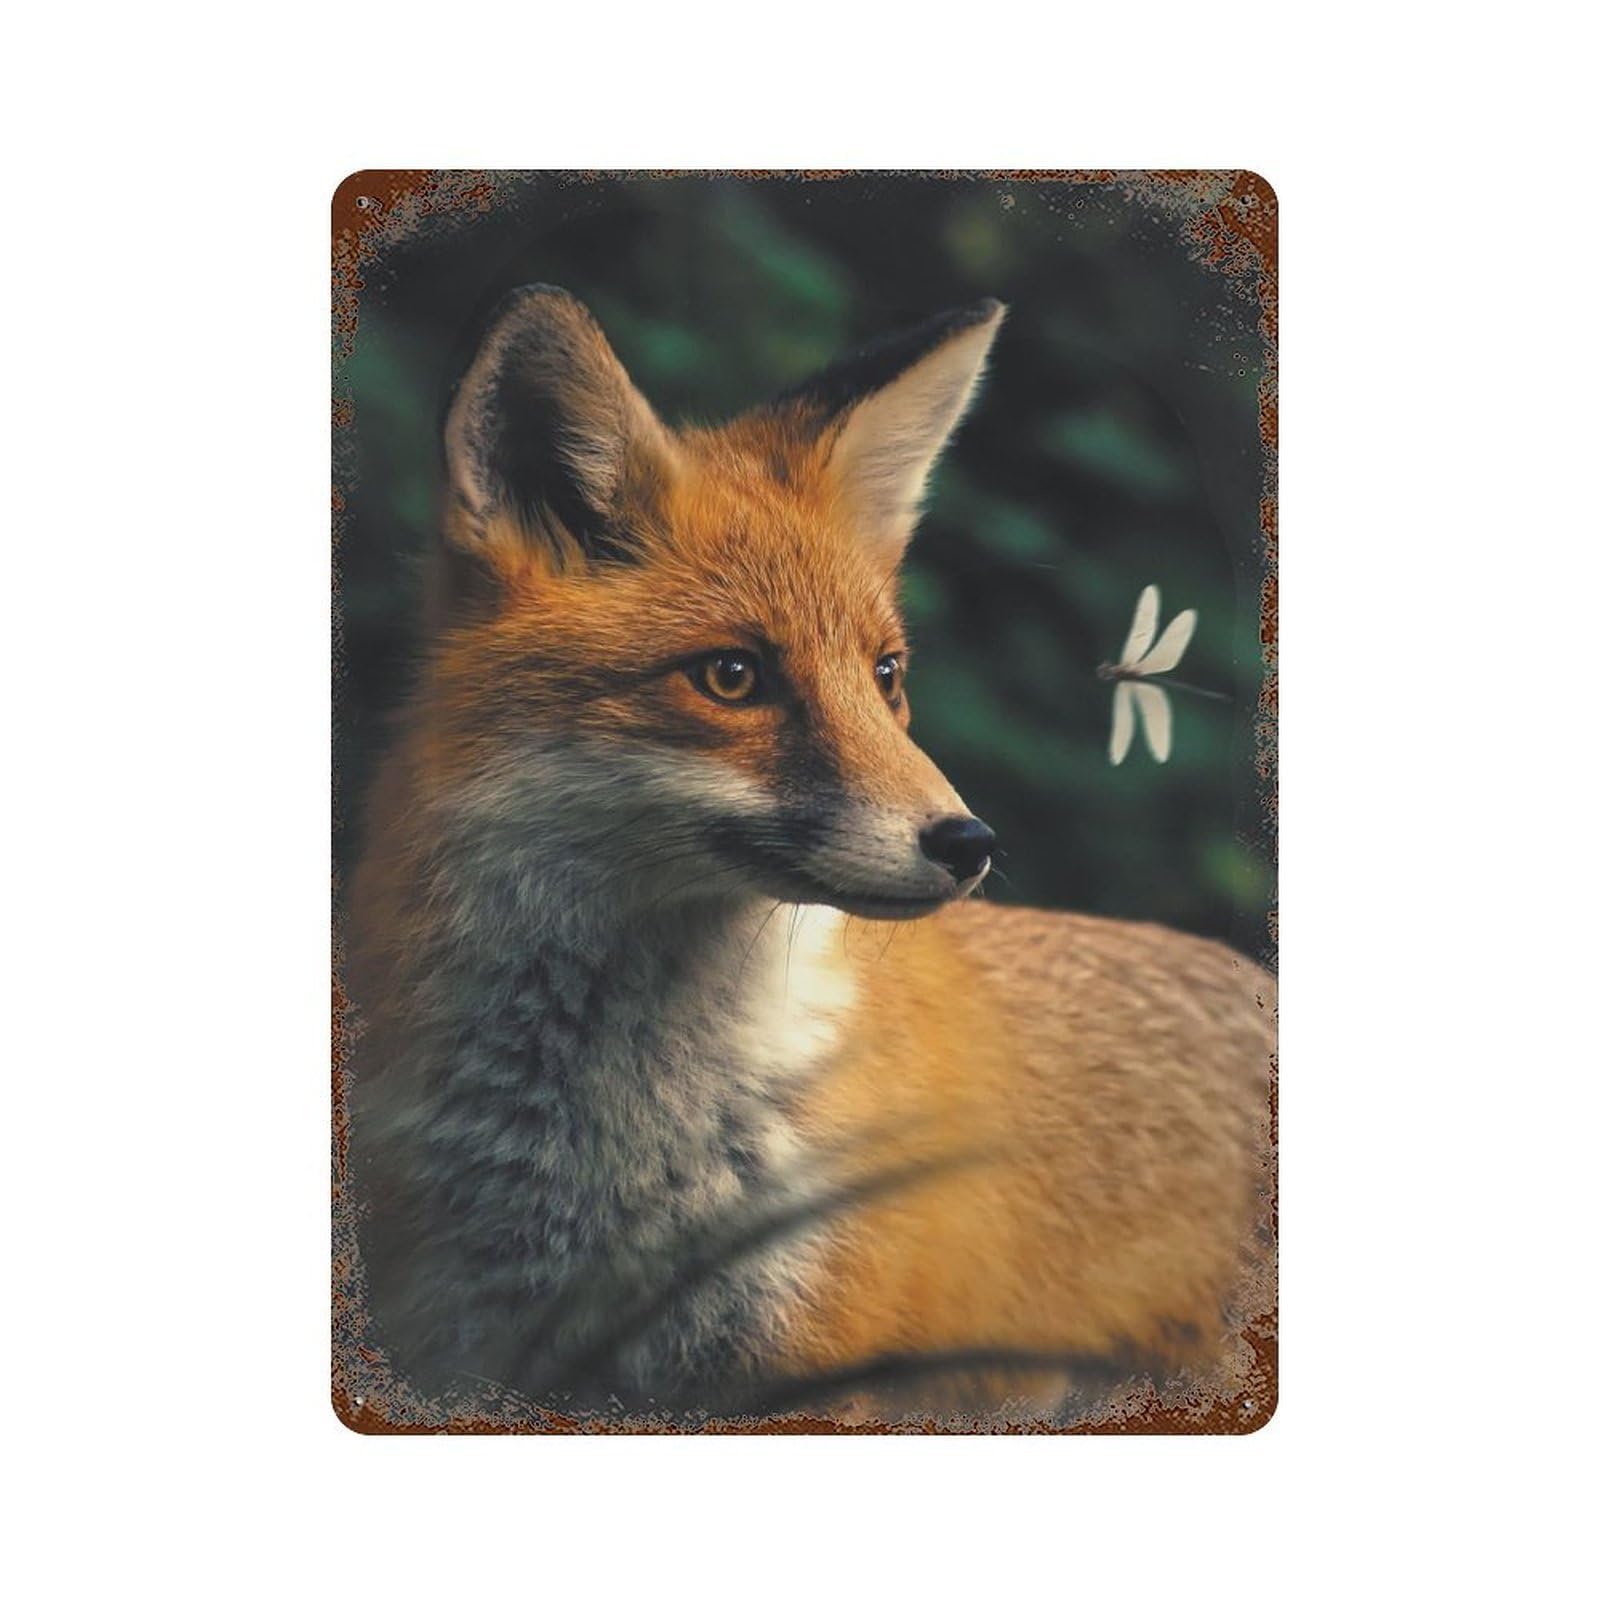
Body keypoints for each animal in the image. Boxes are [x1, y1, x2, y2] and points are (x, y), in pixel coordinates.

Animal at [344, 285, 1275, 1427]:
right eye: (731, 677)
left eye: (886, 675)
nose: (970, 843)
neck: (607, 1160)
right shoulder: (458, 1343)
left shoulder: (807, 1365)